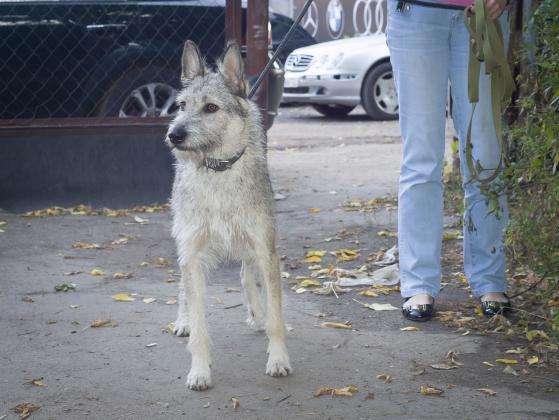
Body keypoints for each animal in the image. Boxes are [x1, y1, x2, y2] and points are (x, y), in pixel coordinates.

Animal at [164, 40, 294, 390]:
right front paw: (199, 370)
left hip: (250, 250)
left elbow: (277, 318)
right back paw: (182, 320)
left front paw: (278, 359)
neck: (219, 172)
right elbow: (199, 327)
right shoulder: (193, 255)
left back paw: (257, 315)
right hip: (183, 246)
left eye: (210, 108)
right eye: (181, 105)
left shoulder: (266, 250)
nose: (174, 135)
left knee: (246, 277)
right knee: (181, 285)